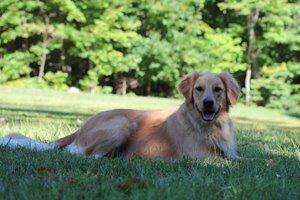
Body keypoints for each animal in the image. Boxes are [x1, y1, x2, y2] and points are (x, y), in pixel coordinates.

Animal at [0, 72, 239, 159]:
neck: (208, 127)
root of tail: (81, 128)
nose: (208, 104)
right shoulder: (199, 158)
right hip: (122, 124)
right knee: (83, 155)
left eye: (217, 90)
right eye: (199, 89)